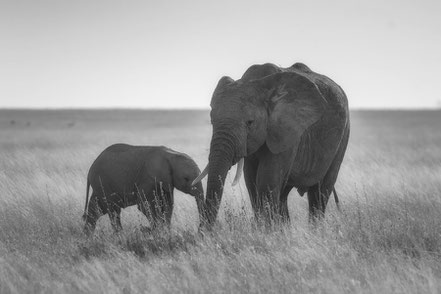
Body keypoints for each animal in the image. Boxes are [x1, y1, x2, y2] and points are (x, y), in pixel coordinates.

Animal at [192, 62, 348, 227]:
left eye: (250, 122)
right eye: (212, 120)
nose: (203, 231)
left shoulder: (288, 130)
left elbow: (266, 181)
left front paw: (267, 230)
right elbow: (252, 181)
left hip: (344, 134)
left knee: (320, 192)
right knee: (284, 194)